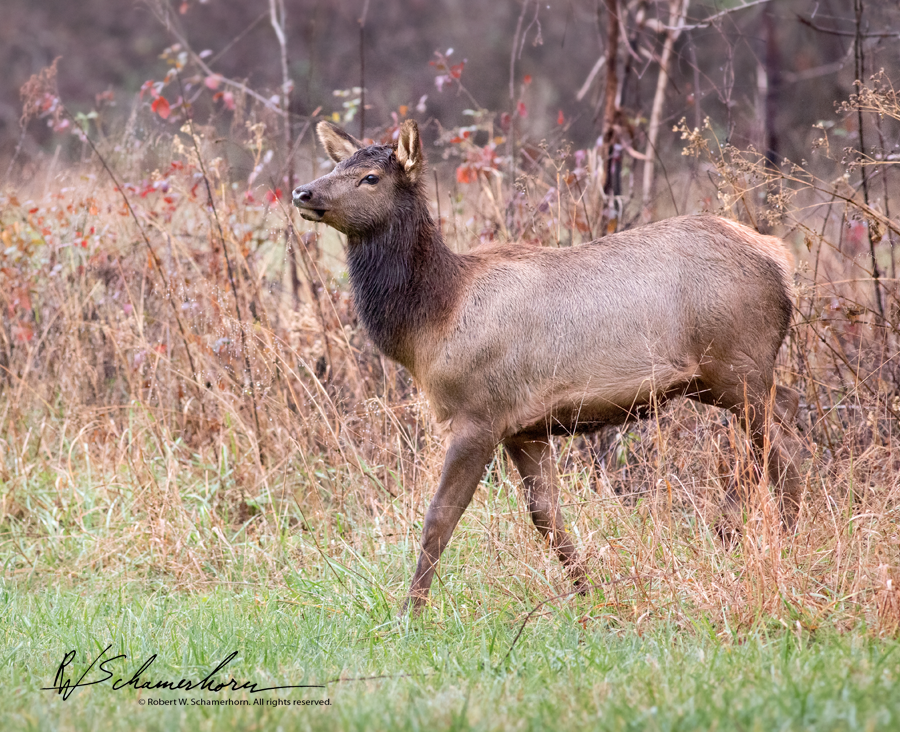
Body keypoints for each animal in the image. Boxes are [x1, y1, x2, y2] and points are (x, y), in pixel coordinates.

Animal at [292, 118, 804, 612]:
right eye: (336, 166)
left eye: (370, 177)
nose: (303, 192)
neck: (432, 320)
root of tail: (781, 259)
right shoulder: (525, 428)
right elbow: (546, 516)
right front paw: (588, 593)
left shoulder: (479, 414)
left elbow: (439, 516)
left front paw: (409, 614)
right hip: (721, 378)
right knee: (775, 432)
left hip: (738, 364)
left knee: (786, 448)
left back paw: (777, 539)